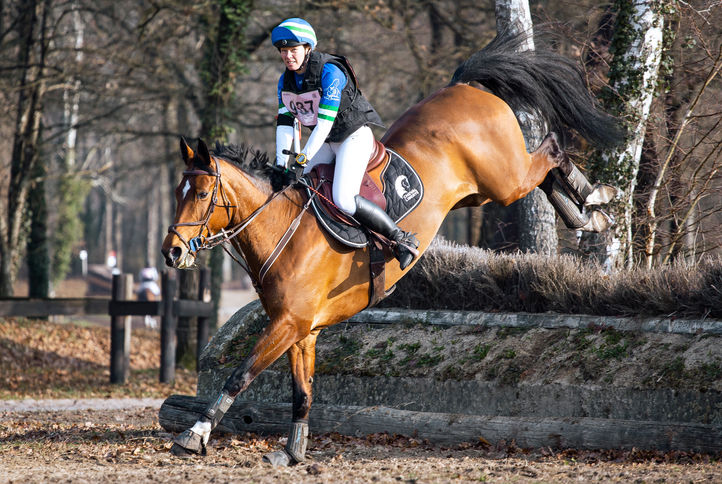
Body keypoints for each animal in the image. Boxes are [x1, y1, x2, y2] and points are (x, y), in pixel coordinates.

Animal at [161, 32, 622, 466]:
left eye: (201, 193)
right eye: (178, 191)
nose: (172, 253)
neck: (280, 228)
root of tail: (461, 86)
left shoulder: (289, 324)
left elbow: (240, 375)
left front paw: (194, 435)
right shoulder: (303, 330)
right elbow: (302, 392)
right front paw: (293, 451)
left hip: (503, 178)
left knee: (551, 149)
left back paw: (596, 196)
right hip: (483, 191)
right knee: (545, 174)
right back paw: (589, 215)